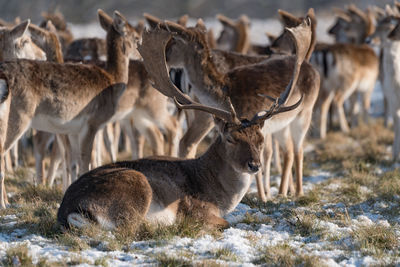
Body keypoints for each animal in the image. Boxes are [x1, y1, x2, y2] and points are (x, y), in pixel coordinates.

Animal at [0, 9, 141, 209]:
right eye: (137, 37)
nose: (142, 57)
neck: (111, 79)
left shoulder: (73, 130)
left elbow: (73, 162)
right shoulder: (91, 124)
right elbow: (85, 162)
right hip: (18, 116)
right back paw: (4, 205)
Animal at [56, 19, 310, 231]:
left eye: (261, 139)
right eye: (231, 138)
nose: (254, 164)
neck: (218, 195)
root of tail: (71, 211)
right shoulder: (198, 210)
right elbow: (226, 222)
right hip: (137, 187)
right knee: (129, 228)